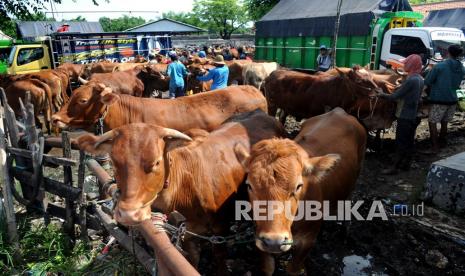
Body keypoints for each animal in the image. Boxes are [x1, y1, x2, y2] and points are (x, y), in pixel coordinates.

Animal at [77, 109, 282, 270]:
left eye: (156, 162)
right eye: (114, 162)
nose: (128, 214)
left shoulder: (220, 229)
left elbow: (220, 259)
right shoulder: (187, 235)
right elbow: (193, 259)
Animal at [236, 107, 366, 274]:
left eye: (298, 186)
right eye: (249, 185)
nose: (274, 241)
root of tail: (339, 111)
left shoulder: (307, 240)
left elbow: (293, 268)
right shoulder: (260, 236)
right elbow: (268, 267)